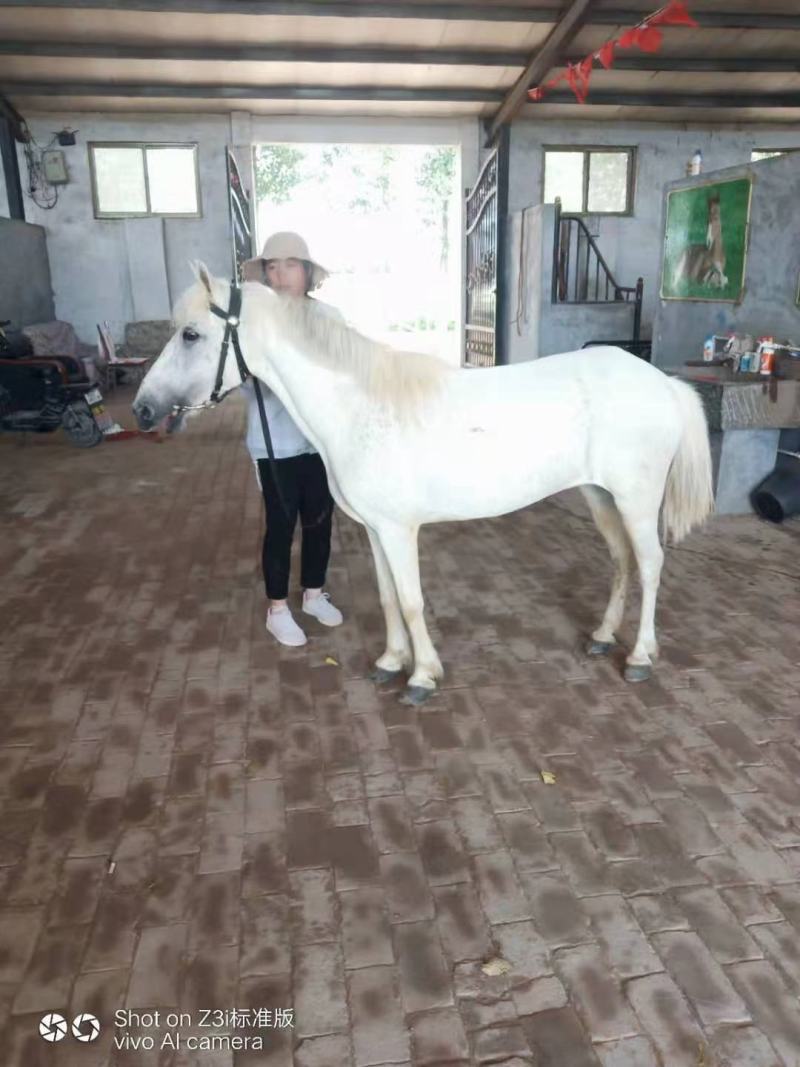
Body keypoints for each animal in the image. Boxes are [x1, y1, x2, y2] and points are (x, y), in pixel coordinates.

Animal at [133, 264, 714, 705]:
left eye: (190, 334)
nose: (142, 410)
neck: (358, 406)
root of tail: (662, 382)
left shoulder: (398, 531)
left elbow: (411, 601)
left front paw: (422, 677)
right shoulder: (374, 530)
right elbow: (389, 598)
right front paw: (392, 662)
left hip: (636, 501)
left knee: (651, 564)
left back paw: (639, 657)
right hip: (600, 496)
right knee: (621, 561)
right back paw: (600, 637)